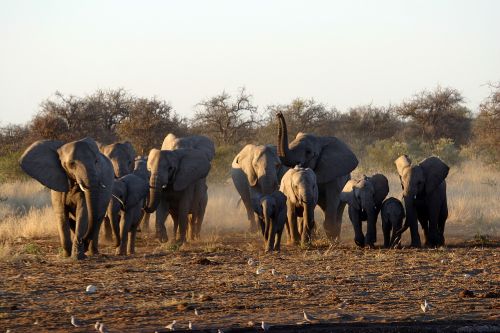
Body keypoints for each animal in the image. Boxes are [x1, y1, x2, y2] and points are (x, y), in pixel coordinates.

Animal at [276, 112, 358, 241]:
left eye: (309, 152)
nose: (278, 113)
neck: (320, 140)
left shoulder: (334, 175)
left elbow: (332, 199)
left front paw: (331, 239)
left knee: (338, 208)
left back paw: (336, 239)